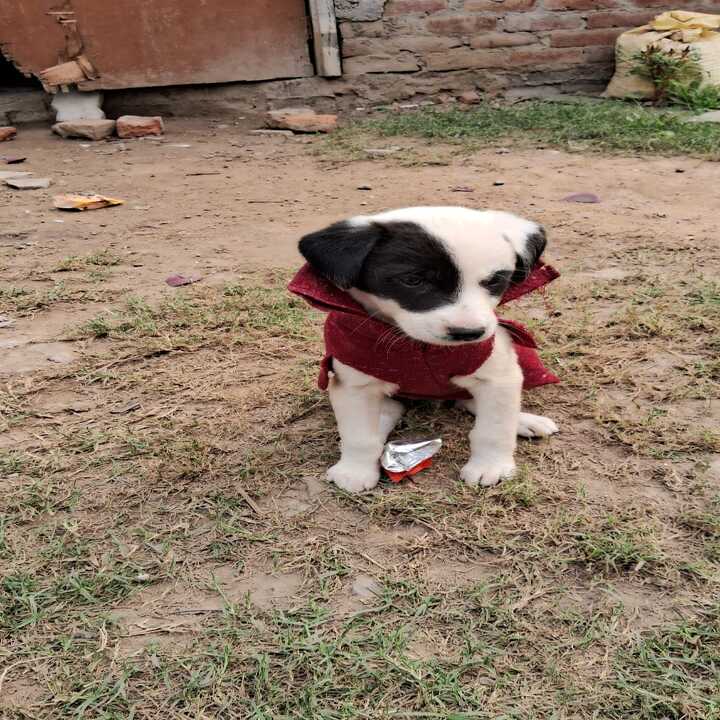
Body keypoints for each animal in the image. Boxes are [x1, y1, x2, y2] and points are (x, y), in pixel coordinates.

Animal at [289, 206, 560, 494]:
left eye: (494, 281)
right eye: (413, 280)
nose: (469, 334)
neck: (421, 348)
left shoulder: (498, 376)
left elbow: (494, 429)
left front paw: (491, 466)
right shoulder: (354, 383)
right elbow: (359, 436)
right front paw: (355, 470)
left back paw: (525, 420)